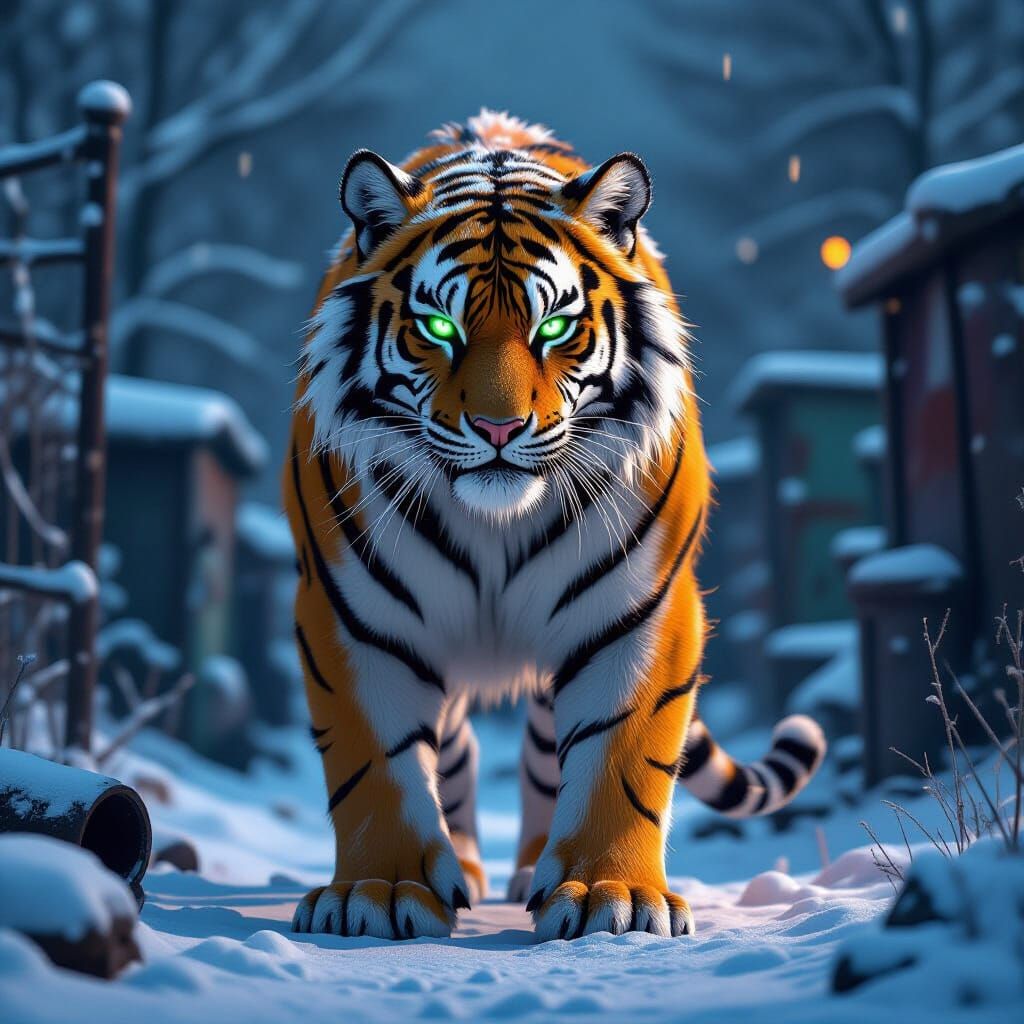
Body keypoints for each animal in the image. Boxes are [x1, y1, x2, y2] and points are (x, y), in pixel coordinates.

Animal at [283, 110, 826, 942]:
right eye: (437, 326)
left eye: (557, 325)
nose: (499, 428)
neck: (494, 524)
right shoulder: (352, 616)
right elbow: (377, 760)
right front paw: (381, 890)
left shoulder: (638, 610)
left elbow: (620, 754)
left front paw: (613, 896)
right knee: (456, 749)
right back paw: (466, 870)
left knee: (544, 754)